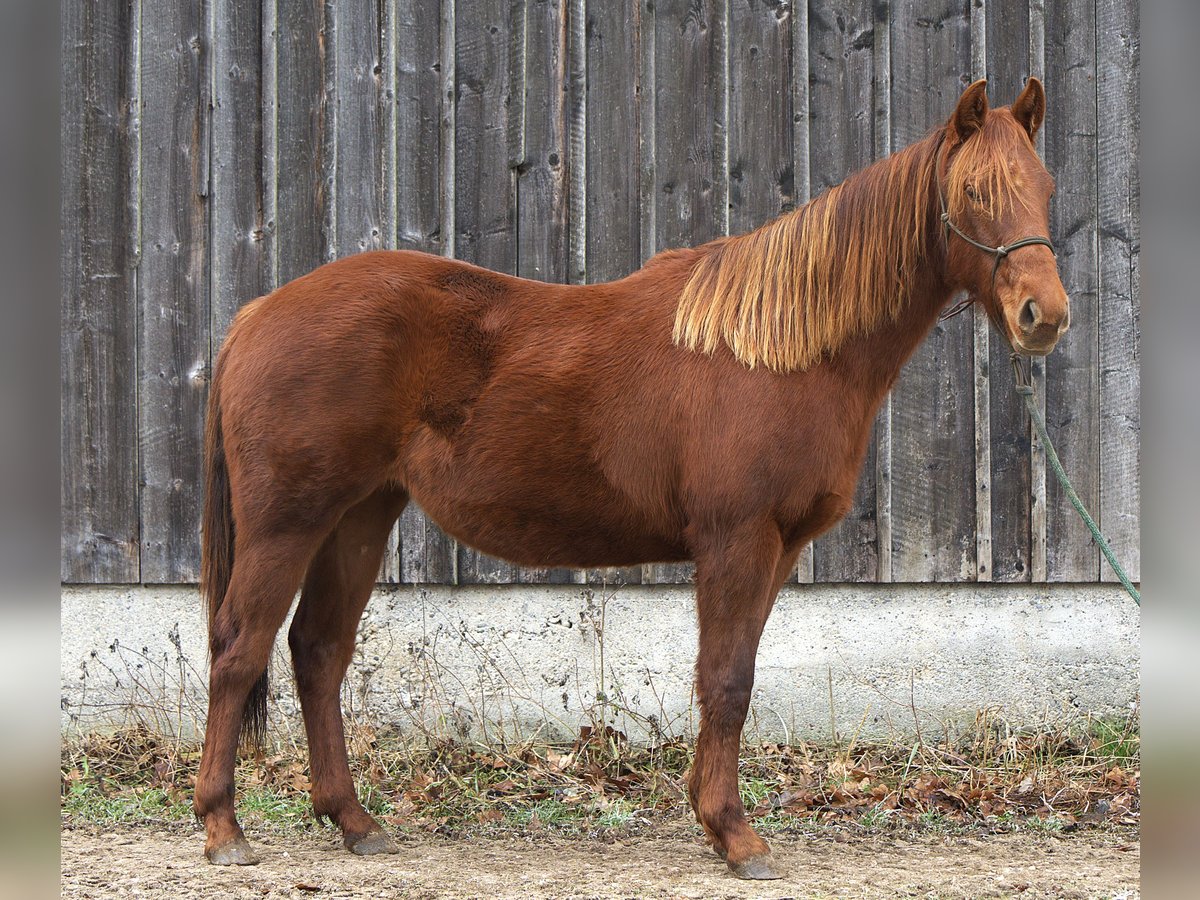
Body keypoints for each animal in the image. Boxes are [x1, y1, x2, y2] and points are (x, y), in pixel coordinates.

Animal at [196, 81, 1070, 878]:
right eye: (973, 192)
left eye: (1046, 187)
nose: (1044, 316)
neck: (778, 350)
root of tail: (255, 316)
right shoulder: (736, 541)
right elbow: (726, 681)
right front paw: (736, 836)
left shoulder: (776, 550)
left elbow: (733, 679)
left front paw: (715, 821)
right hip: (288, 524)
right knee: (239, 650)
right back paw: (223, 827)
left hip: (359, 517)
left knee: (317, 652)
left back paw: (353, 821)